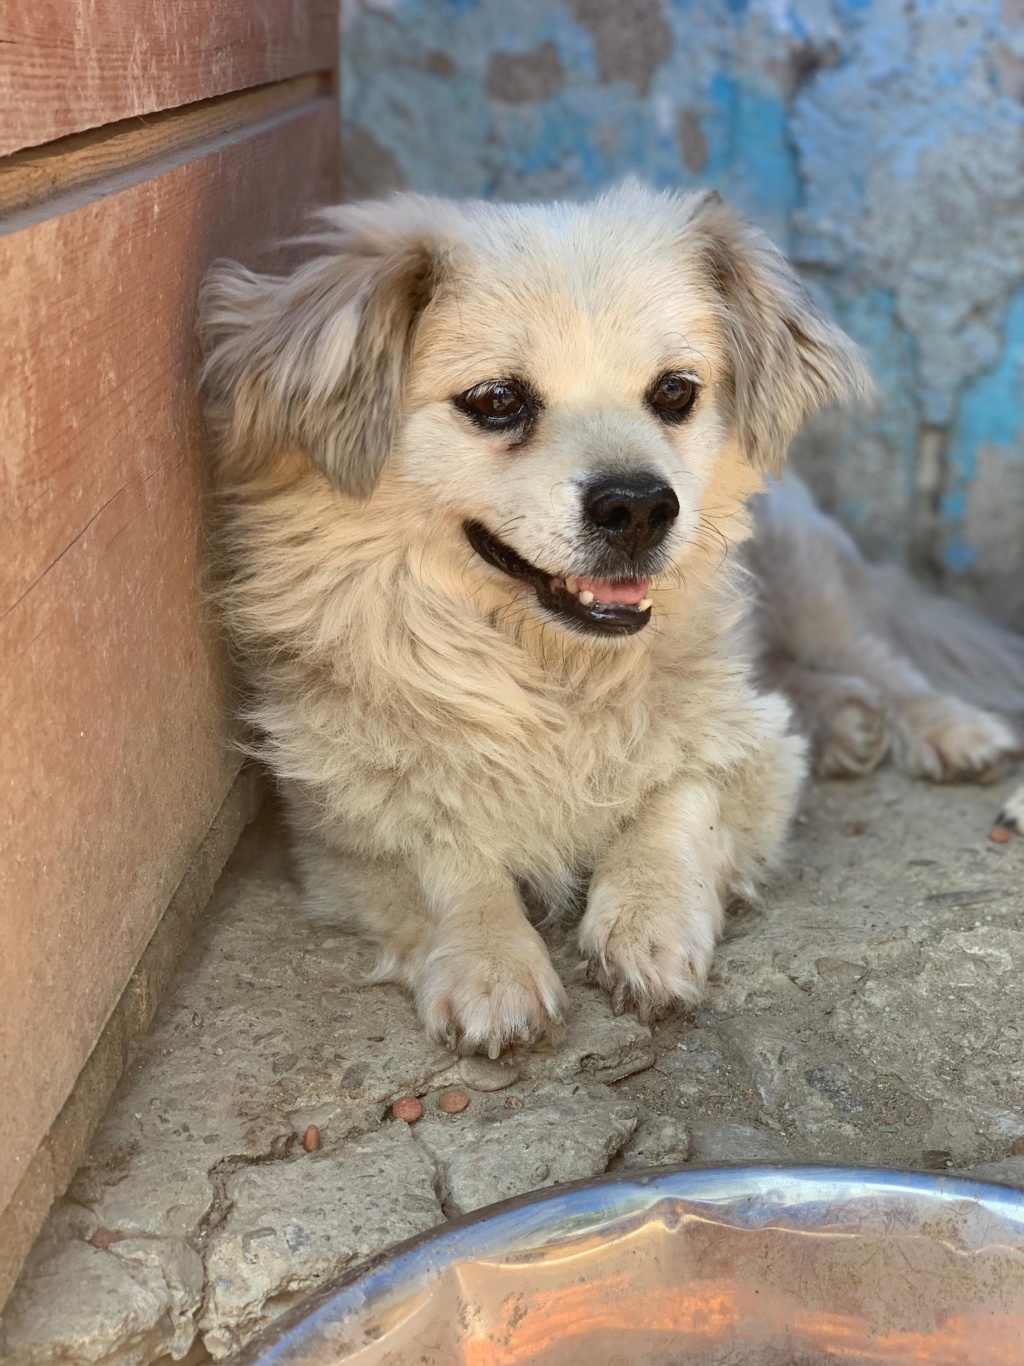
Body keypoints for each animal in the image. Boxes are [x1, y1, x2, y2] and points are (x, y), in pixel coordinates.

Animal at [202, 181, 1024, 1054]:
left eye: (675, 392)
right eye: (498, 401)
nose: (638, 507)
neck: (553, 671)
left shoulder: (756, 755)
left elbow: (679, 798)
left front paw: (646, 920)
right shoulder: (340, 821)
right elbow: (444, 856)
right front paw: (492, 962)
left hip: (805, 576)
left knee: (880, 660)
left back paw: (942, 727)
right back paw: (845, 721)